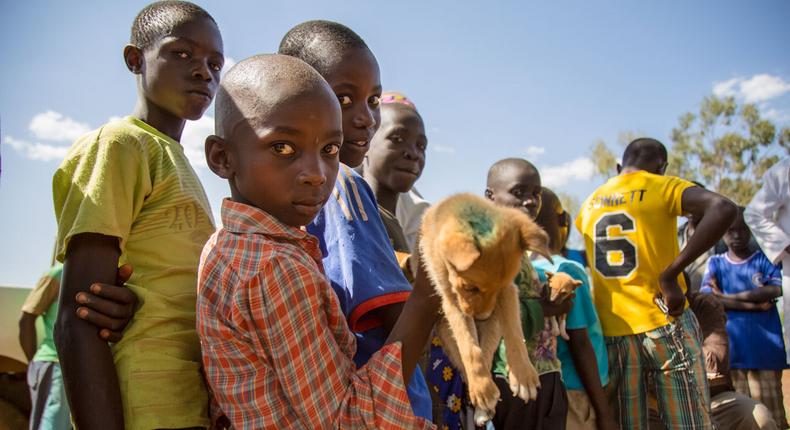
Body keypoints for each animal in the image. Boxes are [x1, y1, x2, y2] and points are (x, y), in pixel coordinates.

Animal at [420, 193, 556, 424]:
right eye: (470, 288)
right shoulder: (452, 301)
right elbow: (469, 348)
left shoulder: (508, 292)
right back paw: (481, 396)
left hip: (493, 328)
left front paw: (522, 375)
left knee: (488, 350)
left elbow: (514, 333)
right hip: (447, 335)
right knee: (466, 362)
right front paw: (482, 388)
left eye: (500, 288)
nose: (482, 317)